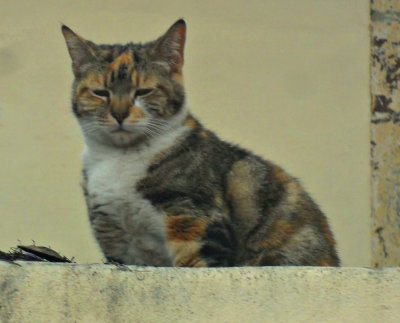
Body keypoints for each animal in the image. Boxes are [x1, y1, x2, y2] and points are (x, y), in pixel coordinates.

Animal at [61, 19, 340, 268]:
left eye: (143, 92)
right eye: (100, 93)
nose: (119, 114)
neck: (120, 159)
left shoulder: (196, 222)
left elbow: (194, 262)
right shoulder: (116, 238)